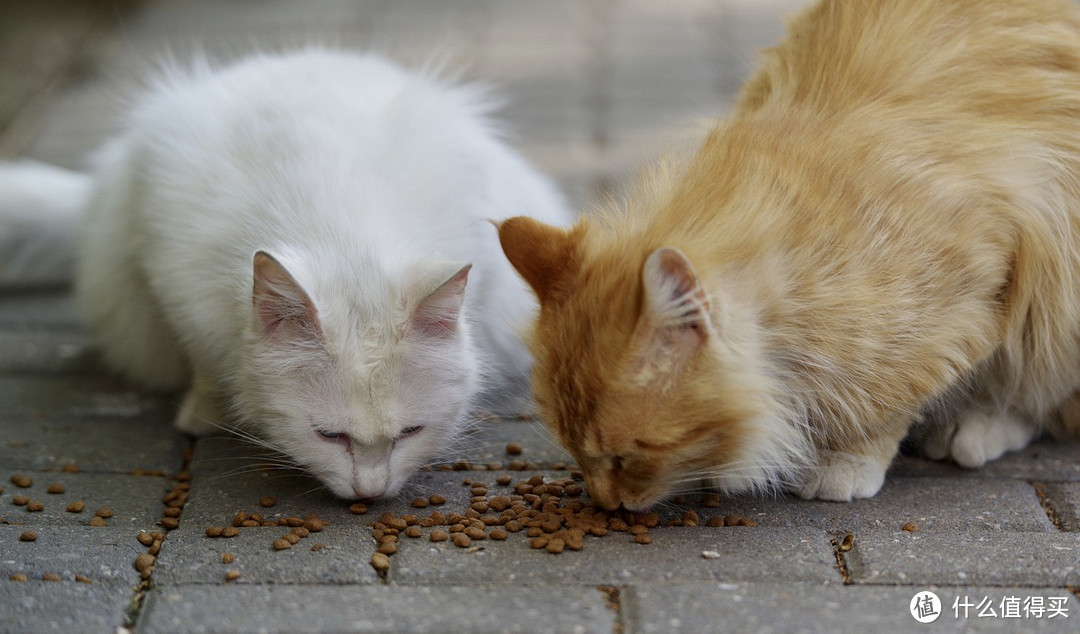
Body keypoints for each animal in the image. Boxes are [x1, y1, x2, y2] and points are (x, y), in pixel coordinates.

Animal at [0, 49, 570, 501]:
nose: (370, 492)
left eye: (409, 432)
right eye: (329, 436)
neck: (344, 235)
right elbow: (205, 362)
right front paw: (205, 412)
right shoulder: (173, 275)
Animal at [496, 0, 1080, 507]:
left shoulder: (975, 294)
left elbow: (885, 400)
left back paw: (974, 429)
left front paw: (845, 461)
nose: (603, 502)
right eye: (574, 452)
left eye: (625, 456)